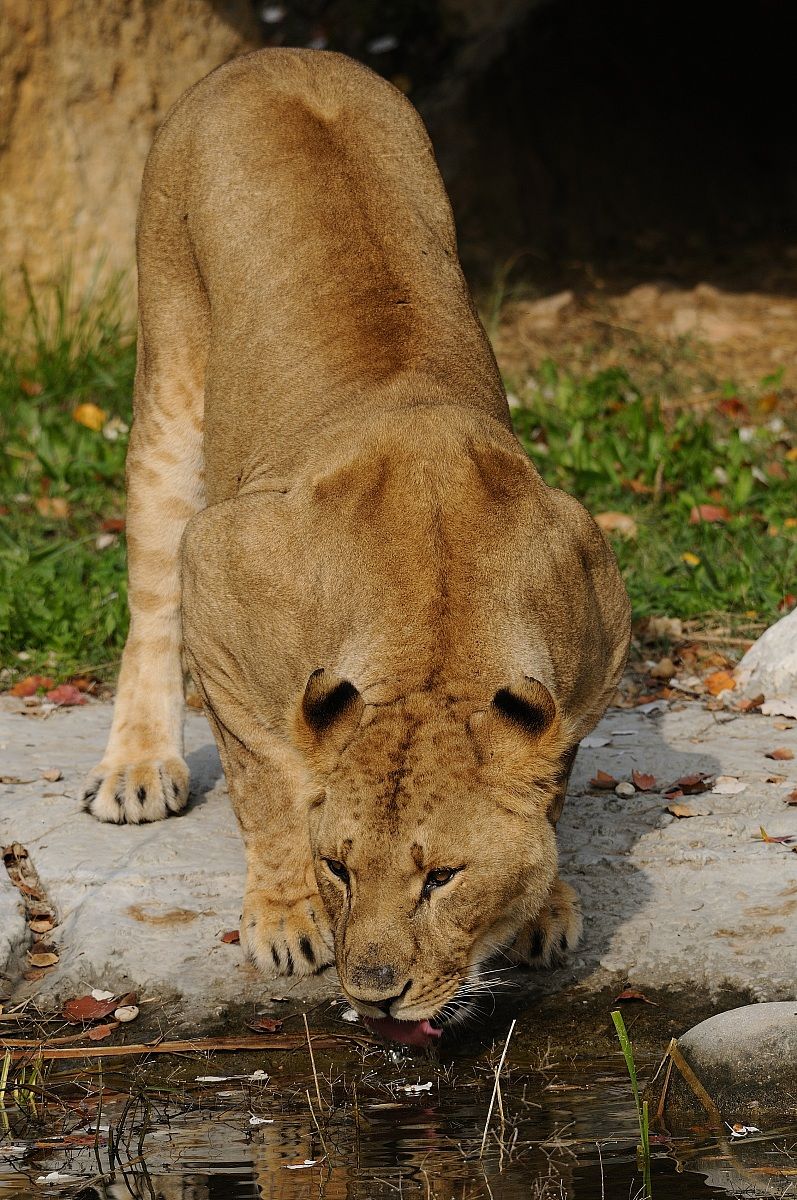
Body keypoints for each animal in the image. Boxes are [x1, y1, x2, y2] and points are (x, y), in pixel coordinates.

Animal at [81, 48, 630, 1037]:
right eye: (339, 867)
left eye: (442, 878)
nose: (375, 992)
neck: (437, 624)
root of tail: (277, 54)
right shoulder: (220, 570)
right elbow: (264, 777)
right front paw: (284, 915)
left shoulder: (595, 622)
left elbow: (553, 779)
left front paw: (543, 904)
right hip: (170, 373)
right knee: (148, 593)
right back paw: (139, 767)